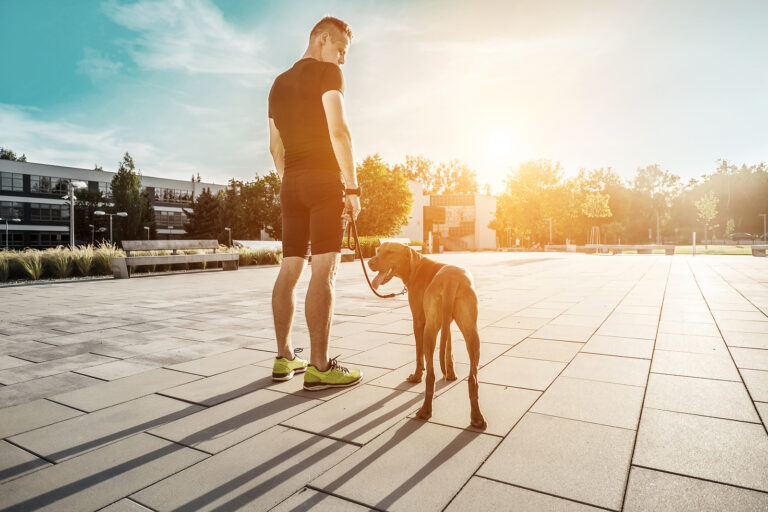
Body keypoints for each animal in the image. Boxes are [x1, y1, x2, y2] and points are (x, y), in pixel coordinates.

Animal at [368, 242, 486, 430]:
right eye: (378, 251)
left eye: (390, 252)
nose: (370, 262)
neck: (415, 266)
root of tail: (451, 280)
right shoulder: (445, 322)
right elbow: (448, 348)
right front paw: (451, 374)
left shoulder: (419, 321)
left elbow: (419, 354)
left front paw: (417, 376)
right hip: (472, 334)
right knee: (472, 379)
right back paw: (477, 418)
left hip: (429, 332)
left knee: (431, 375)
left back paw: (425, 410)